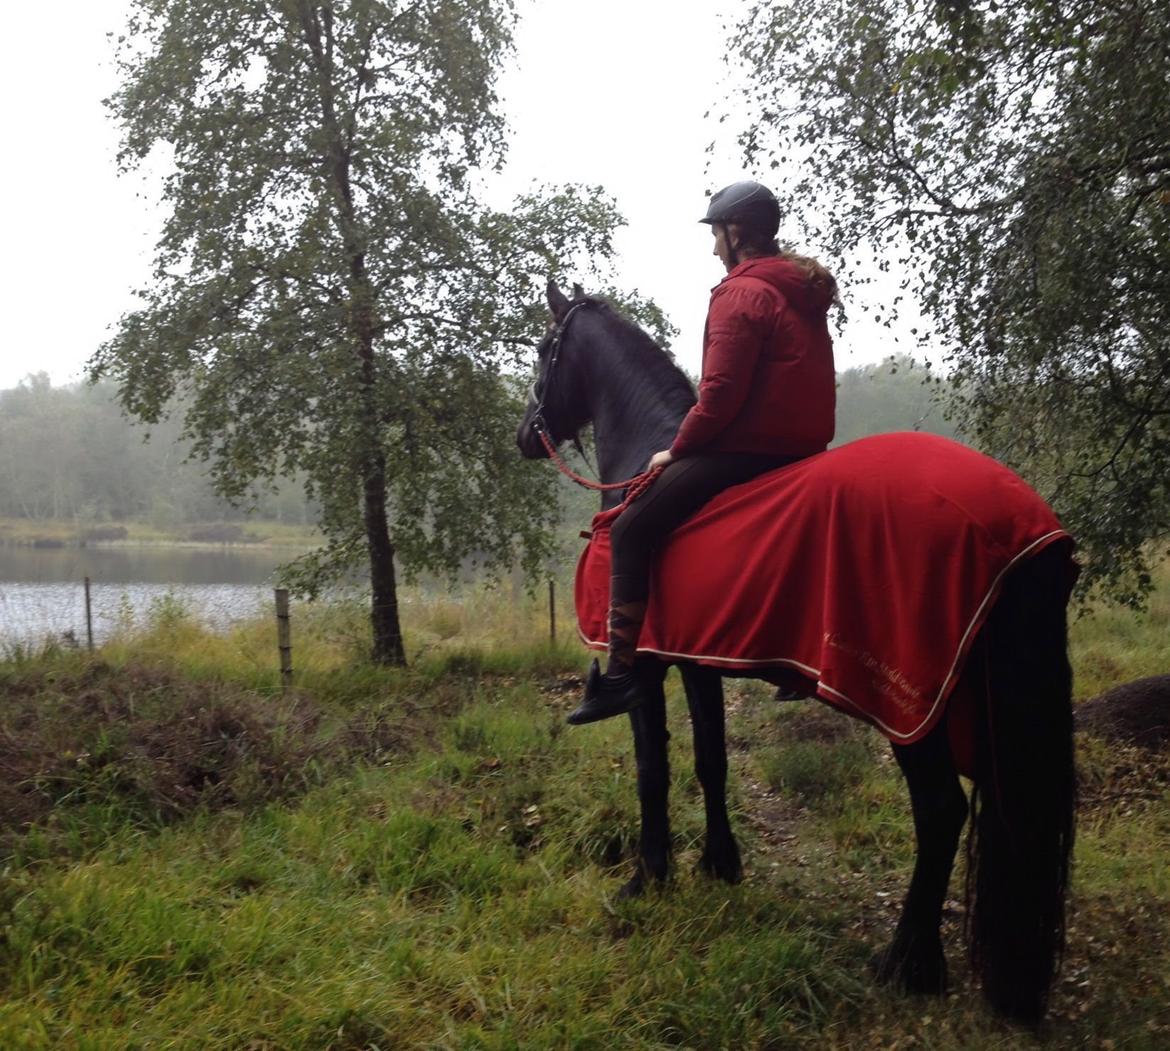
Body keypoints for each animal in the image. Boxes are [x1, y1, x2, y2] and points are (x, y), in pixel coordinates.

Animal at [517, 283, 1071, 1020]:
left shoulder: (650, 666)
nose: (526, 435)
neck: (646, 461)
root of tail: (1024, 524)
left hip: (910, 706)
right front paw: (719, 865)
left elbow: (651, 769)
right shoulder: (696, 660)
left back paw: (908, 962)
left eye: (543, 348)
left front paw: (648, 877)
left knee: (940, 812)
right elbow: (712, 761)